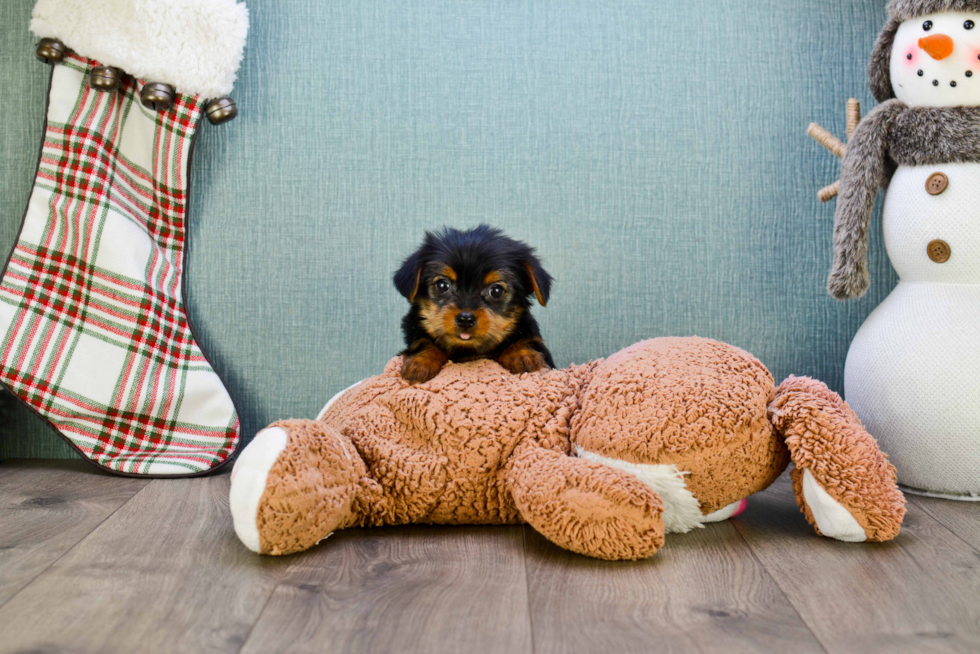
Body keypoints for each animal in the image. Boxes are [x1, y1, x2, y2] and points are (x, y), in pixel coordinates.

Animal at [394, 226, 556, 384]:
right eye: (442, 285)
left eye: (496, 291)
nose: (465, 319)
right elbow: (424, 342)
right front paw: (421, 361)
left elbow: (525, 340)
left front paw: (522, 354)